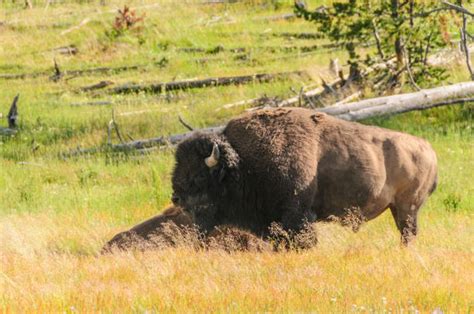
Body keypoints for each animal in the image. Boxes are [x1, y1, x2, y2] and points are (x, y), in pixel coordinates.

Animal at [172, 106, 438, 244]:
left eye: (198, 176)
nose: (176, 198)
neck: (243, 161)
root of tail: (428, 149)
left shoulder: (297, 214)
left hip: (407, 208)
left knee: (407, 233)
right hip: (398, 208)